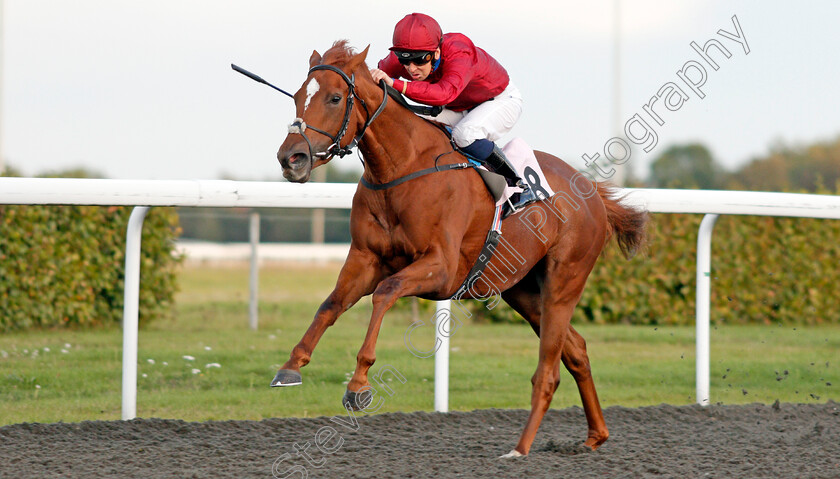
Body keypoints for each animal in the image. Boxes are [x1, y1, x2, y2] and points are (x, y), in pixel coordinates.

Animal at [272, 43, 648, 460]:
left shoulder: (441, 269)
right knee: (577, 350)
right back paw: (595, 434)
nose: (291, 159)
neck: (402, 167)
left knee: (548, 371)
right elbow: (331, 304)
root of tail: (593, 192)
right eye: (297, 96)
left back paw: (520, 448)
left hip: (564, 281)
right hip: (521, 290)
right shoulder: (365, 258)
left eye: (336, 98)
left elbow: (385, 293)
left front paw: (358, 385)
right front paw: (291, 366)